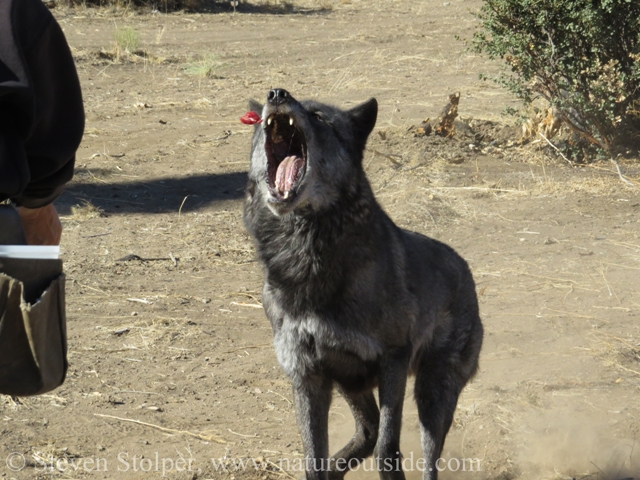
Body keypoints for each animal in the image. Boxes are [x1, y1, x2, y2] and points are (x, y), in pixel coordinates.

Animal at [242, 89, 482, 480]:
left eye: (319, 116)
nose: (276, 93)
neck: (306, 255)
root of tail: (464, 268)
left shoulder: (394, 361)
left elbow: (388, 449)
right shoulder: (307, 375)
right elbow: (314, 460)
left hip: (431, 392)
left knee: (422, 456)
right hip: (350, 381)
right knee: (366, 431)